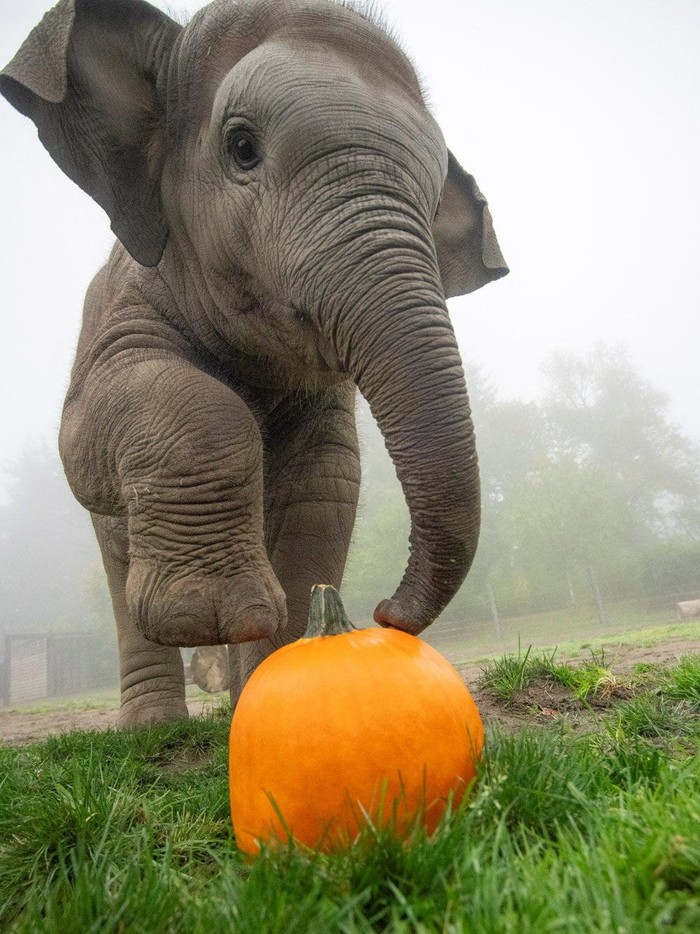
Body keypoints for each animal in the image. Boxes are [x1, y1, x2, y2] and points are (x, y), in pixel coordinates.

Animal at [1, 0, 508, 726]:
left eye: (437, 201)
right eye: (242, 148)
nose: (387, 610)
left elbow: (326, 480)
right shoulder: (120, 307)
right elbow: (93, 433)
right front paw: (204, 615)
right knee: (117, 558)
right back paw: (152, 730)